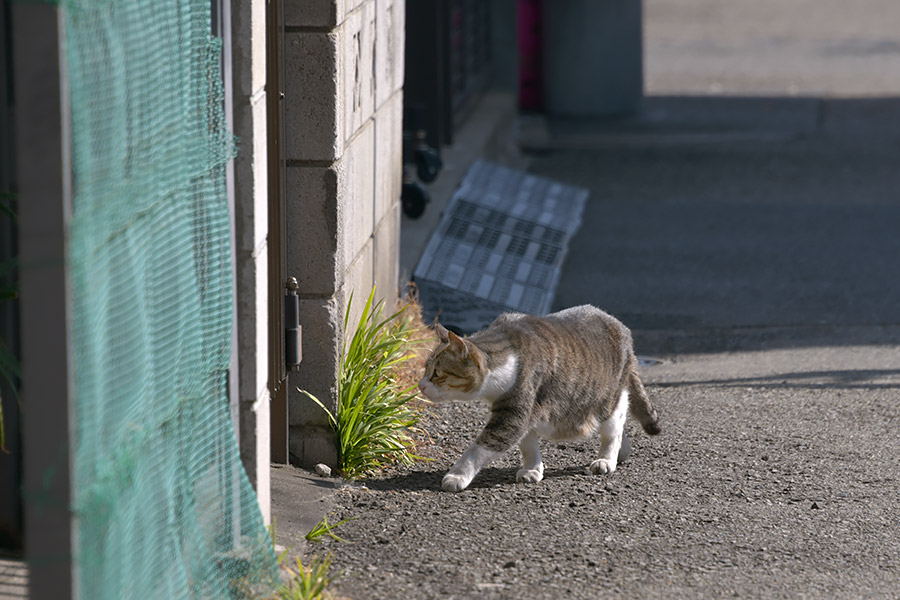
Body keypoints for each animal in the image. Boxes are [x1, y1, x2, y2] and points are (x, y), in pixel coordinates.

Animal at [416, 304, 660, 492]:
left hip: (608, 399)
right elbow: (528, 444)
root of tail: (621, 327)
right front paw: (532, 469)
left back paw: (607, 459)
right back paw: (622, 452)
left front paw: (457, 475)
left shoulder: (515, 413)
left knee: (614, 427)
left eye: (437, 373)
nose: (420, 385)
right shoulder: (526, 413)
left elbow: (480, 447)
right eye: (425, 369)